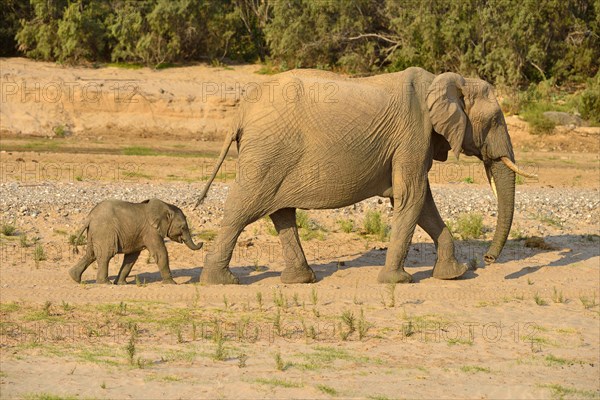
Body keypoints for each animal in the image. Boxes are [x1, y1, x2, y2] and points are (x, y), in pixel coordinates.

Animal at [68, 198, 202, 284]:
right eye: (183, 227)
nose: (201, 243)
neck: (167, 207)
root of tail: (89, 218)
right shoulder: (151, 231)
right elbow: (160, 253)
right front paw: (172, 283)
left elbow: (131, 258)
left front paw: (121, 284)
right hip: (105, 231)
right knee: (105, 255)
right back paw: (105, 283)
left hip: (95, 232)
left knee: (90, 254)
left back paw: (74, 278)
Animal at [197, 69, 536, 286]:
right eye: (495, 121)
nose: (488, 260)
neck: (446, 80)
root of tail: (240, 112)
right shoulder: (413, 135)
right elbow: (411, 198)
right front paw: (398, 281)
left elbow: (422, 203)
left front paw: (454, 274)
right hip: (268, 152)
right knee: (242, 209)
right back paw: (220, 282)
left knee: (281, 212)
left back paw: (300, 280)